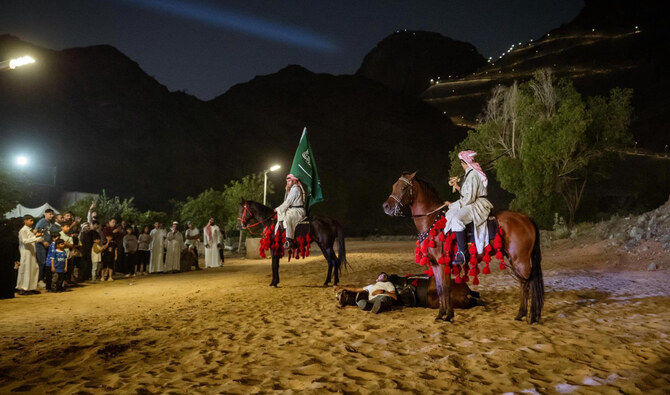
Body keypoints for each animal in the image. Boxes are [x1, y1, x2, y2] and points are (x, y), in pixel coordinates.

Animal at [384, 172, 544, 324]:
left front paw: (448, 316)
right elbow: (440, 289)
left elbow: (446, 289)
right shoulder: (436, 265)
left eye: (403, 187)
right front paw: (441, 315)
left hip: (520, 260)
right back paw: (521, 314)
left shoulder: (443, 265)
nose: (386, 206)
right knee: (524, 284)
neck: (433, 221)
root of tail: (526, 218)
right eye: (393, 186)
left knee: (527, 284)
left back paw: (528, 315)